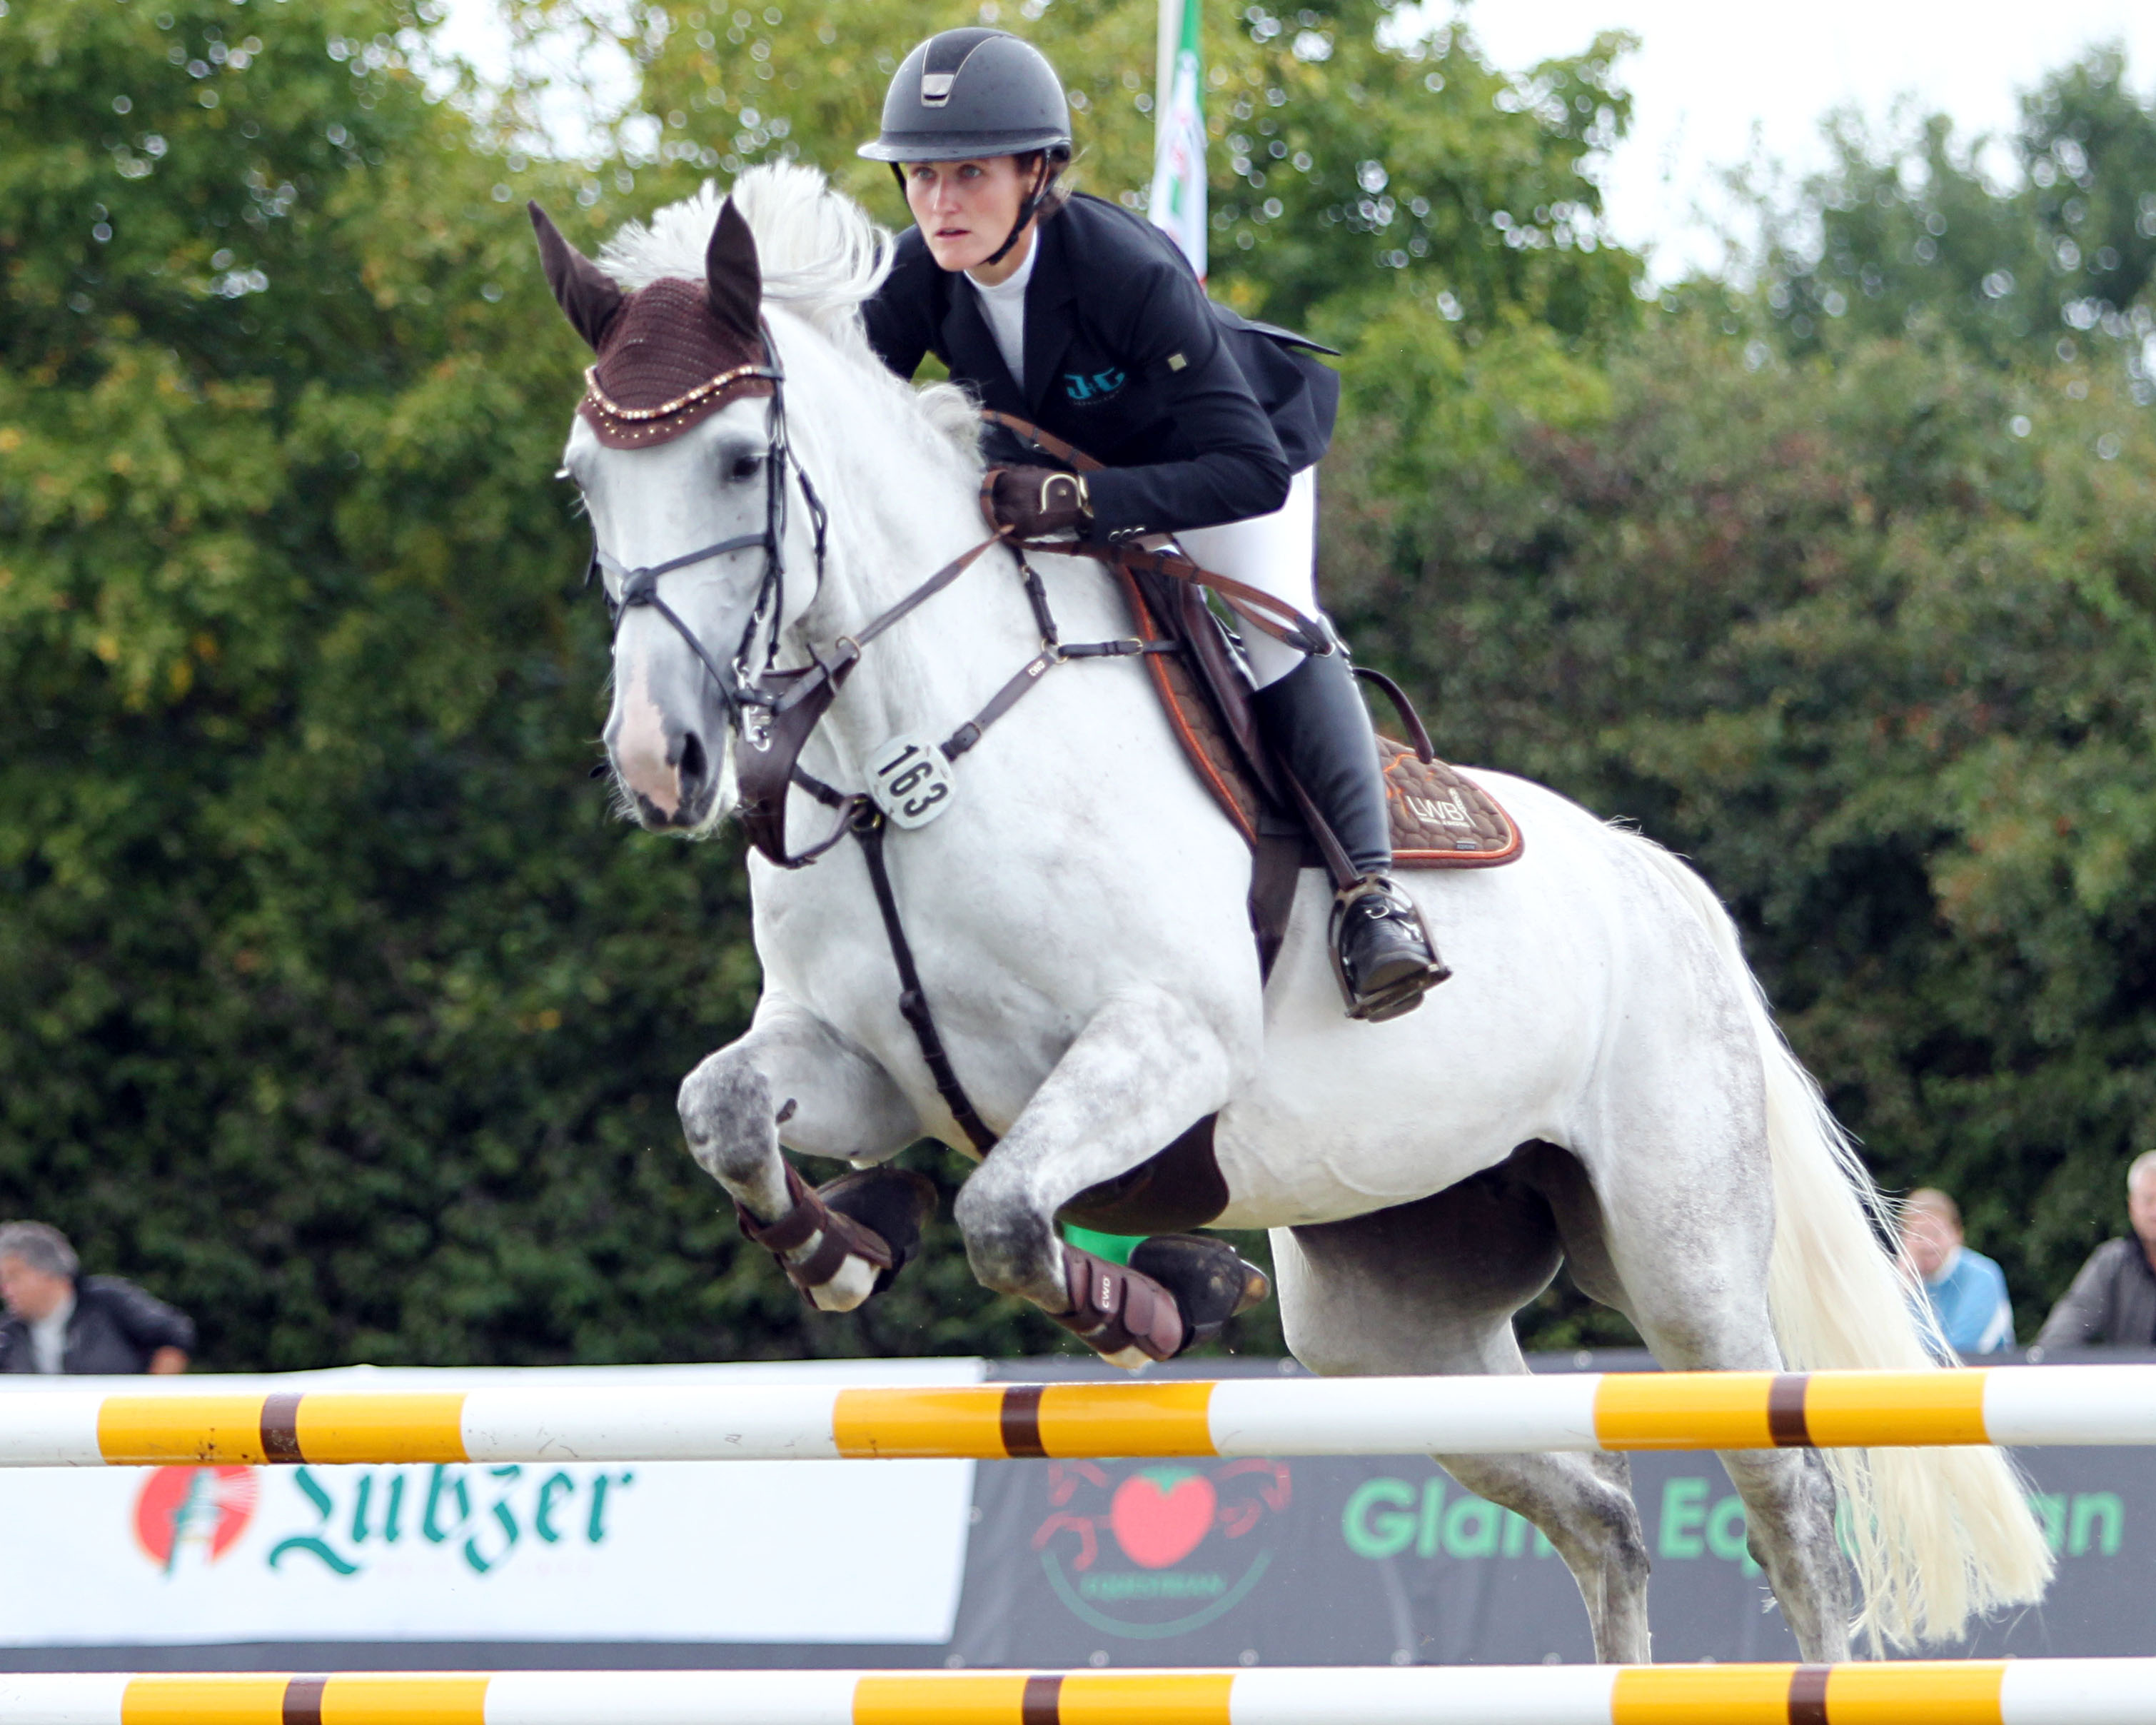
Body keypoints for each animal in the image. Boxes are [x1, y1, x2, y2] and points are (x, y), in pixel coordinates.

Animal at [539, 168, 2052, 1664]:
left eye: (743, 461)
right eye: (586, 479)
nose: (659, 761)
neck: (906, 762)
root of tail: (1661, 886)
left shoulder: (1164, 1045)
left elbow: (1008, 1217)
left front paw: (1153, 1298)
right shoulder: (869, 1065)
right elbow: (728, 1115)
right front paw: (851, 1241)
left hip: (1682, 1266)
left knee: (1791, 1506)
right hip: (1388, 1321)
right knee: (1600, 1515)